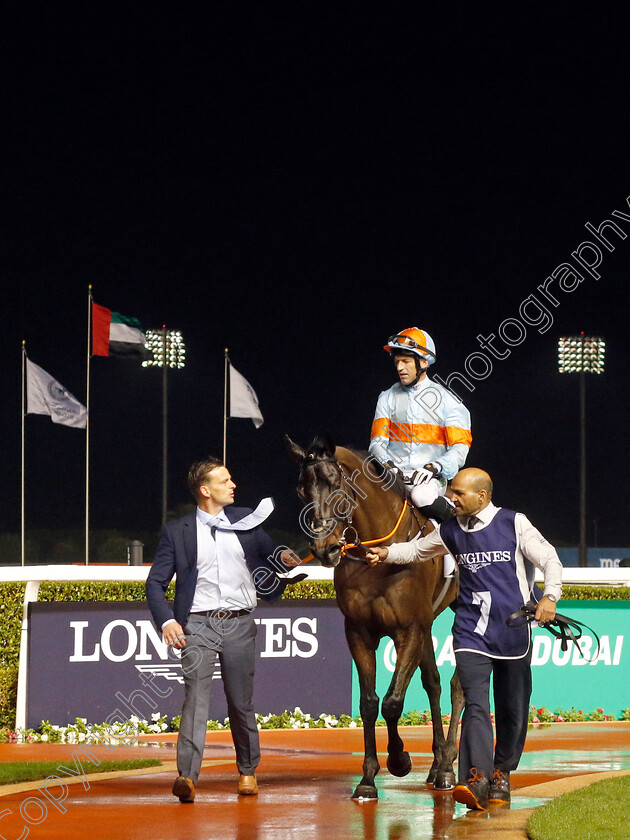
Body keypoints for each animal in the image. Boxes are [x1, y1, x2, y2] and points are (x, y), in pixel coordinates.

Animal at [288, 434, 464, 800]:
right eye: (301, 489)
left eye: (335, 482)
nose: (325, 548)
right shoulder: (359, 631)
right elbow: (369, 703)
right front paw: (368, 778)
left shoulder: (408, 629)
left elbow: (393, 702)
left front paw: (399, 759)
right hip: (427, 625)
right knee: (434, 682)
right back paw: (437, 764)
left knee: (458, 685)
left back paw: (446, 767)